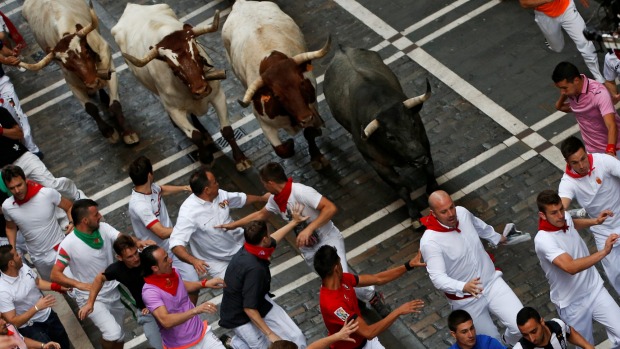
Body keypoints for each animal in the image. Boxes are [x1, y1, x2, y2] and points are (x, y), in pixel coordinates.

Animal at [322, 46, 438, 224]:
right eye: (390, 137)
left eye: (413, 123)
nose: (418, 159)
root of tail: (342, 49)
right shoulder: (376, 162)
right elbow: (400, 186)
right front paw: (413, 213)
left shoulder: (423, 143)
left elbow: (430, 169)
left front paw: (433, 189)